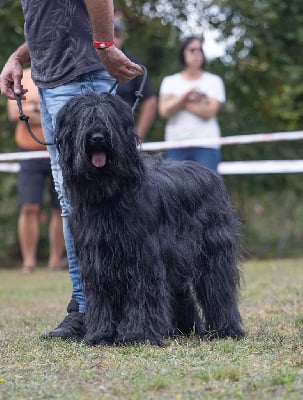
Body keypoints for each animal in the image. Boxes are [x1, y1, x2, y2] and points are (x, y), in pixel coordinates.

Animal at [54, 92, 246, 346]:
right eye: (85, 119)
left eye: (108, 119)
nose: (97, 138)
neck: (110, 194)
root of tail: (210, 173)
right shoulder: (98, 257)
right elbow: (102, 295)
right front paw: (100, 334)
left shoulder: (142, 255)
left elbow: (142, 293)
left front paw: (138, 335)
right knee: (181, 290)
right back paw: (183, 329)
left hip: (213, 250)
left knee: (218, 287)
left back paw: (225, 329)